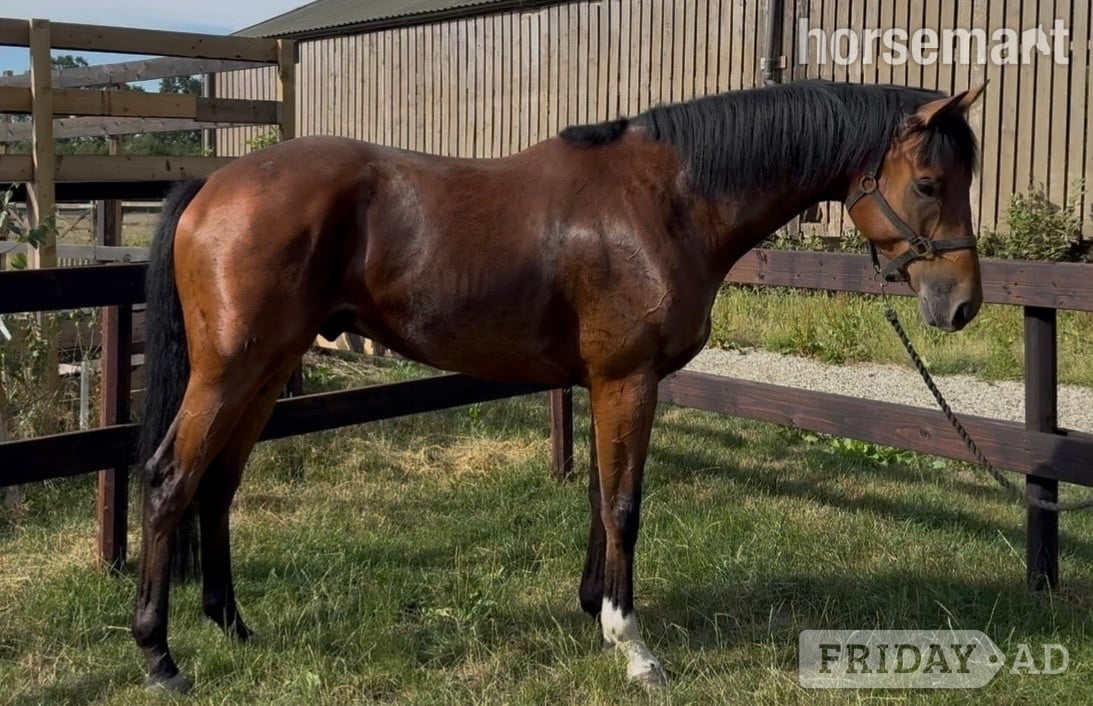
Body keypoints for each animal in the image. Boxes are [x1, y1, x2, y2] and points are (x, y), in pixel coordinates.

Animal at [134, 79, 986, 692]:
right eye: (929, 182)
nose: (962, 304)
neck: (666, 201)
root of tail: (212, 186)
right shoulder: (626, 380)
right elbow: (623, 506)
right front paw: (632, 645)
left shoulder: (603, 383)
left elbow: (598, 500)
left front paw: (592, 609)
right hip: (231, 369)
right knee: (171, 480)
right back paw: (160, 657)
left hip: (268, 368)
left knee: (218, 484)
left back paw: (232, 626)